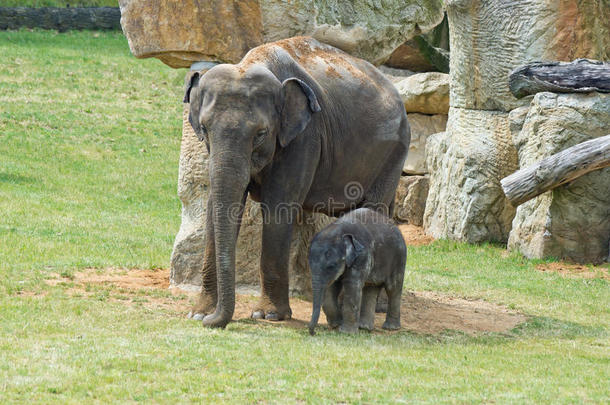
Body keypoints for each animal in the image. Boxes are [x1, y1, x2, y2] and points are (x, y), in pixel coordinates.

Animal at [182, 36, 408, 328]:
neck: (254, 62)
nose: (211, 321)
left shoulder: (305, 137)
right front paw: (198, 312)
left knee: (373, 210)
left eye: (261, 134)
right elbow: (215, 209)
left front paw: (269, 315)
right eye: (204, 129)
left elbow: (278, 208)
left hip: (393, 151)